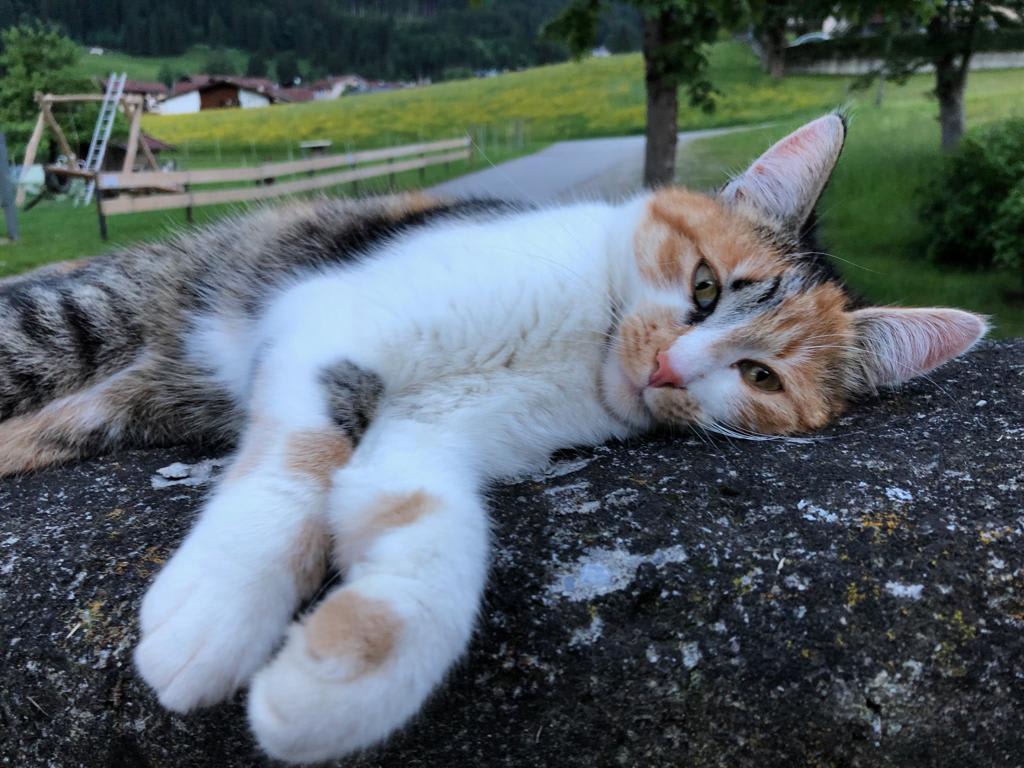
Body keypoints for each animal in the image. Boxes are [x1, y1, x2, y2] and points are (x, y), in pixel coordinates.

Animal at [0, 114, 986, 763]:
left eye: (762, 378)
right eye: (706, 287)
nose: (669, 368)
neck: (578, 345)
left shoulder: (439, 429)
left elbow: (432, 523)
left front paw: (334, 678)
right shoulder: (334, 317)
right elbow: (304, 456)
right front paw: (215, 614)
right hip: (73, 322)